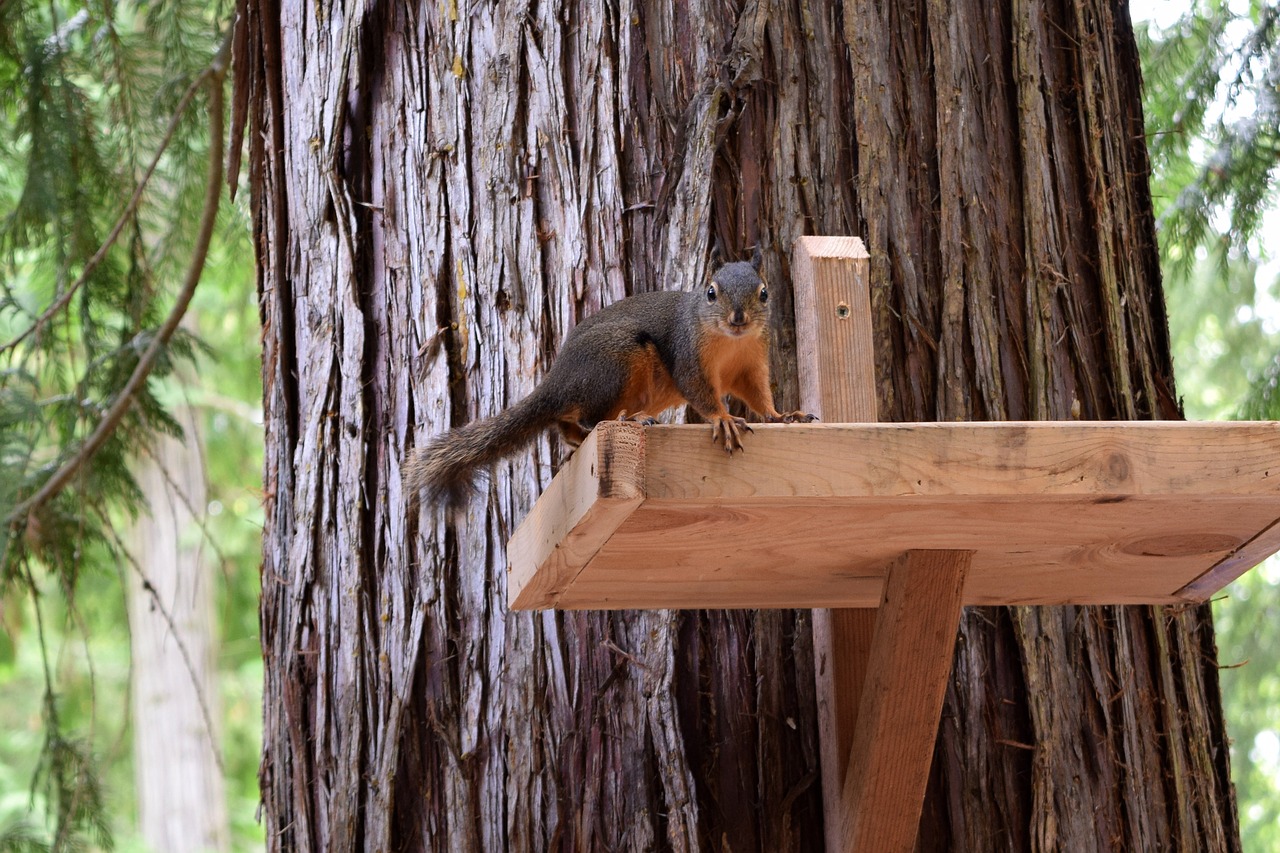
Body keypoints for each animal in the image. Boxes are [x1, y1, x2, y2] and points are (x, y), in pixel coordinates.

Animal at [404, 247, 814, 504]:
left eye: (764, 293)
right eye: (711, 293)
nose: (738, 319)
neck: (730, 343)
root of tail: (557, 380)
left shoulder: (750, 364)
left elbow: (759, 395)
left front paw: (784, 415)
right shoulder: (688, 356)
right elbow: (700, 391)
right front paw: (723, 419)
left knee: (565, 425)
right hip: (618, 359)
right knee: (588, 418)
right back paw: (621, 421)